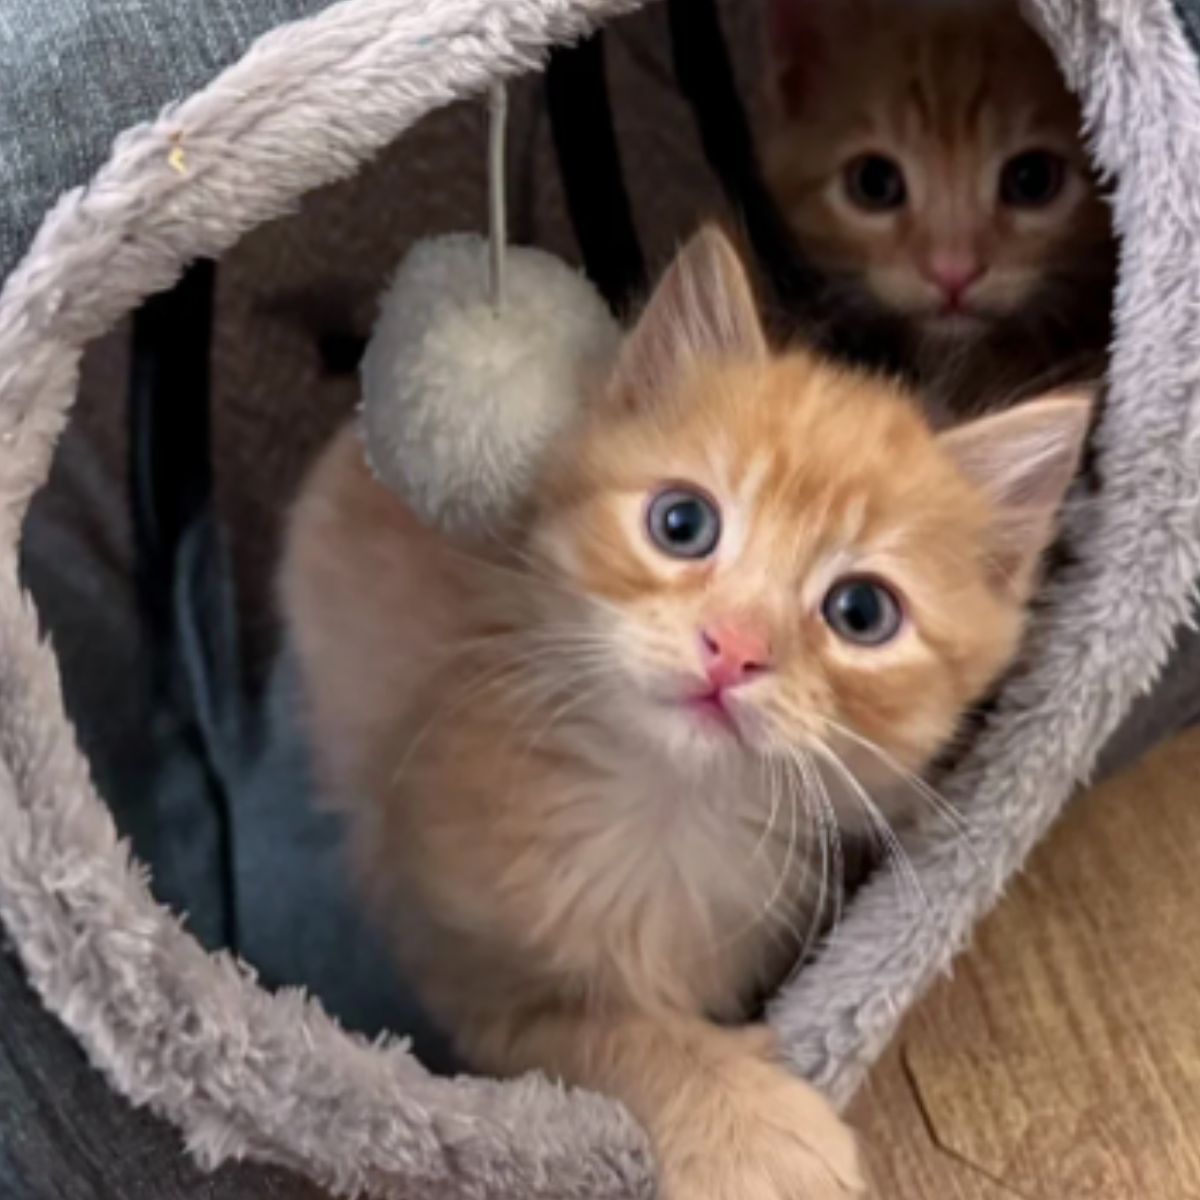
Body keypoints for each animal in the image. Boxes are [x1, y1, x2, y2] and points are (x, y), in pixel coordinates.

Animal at [278, 226, 1089, 1200]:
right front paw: (751, 1132)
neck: (666, 812)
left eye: (861, 612)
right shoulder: (465, 959)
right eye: (682, 523)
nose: (732, 647)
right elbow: (609, 1033)